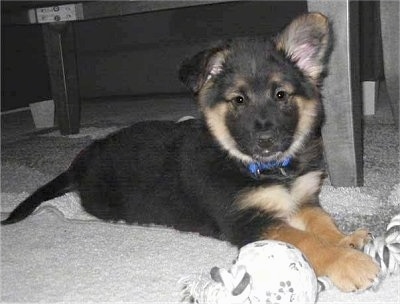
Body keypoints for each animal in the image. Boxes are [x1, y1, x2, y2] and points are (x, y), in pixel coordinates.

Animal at [2, 12, 378, 292]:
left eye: (281, 95)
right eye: (238, 100)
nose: (267, 142)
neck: (267, 170)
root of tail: (80, 162)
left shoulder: (304, 200)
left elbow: (322, 223)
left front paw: (347, 239)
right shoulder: (247, 221)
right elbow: (305, 241)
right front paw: (348, 263)